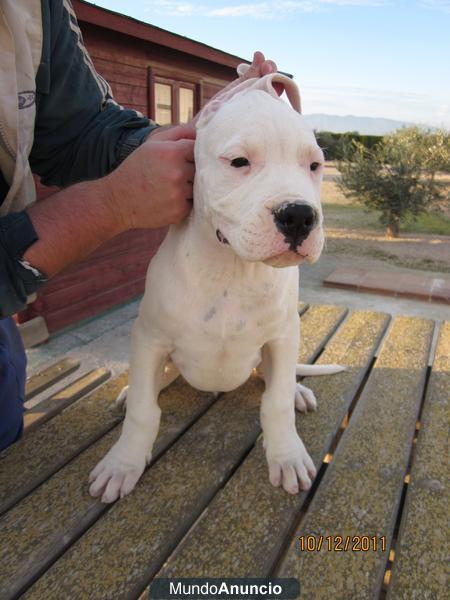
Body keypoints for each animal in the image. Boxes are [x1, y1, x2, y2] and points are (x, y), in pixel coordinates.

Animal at [88, 69, 342, 502]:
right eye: (239, 161)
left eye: (314, 165)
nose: (298, 215)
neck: (232, 268)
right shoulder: (149, 337)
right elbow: (143, 411)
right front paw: (123, 462)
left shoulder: (282, 335)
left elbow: (275, 403)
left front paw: (287, 455)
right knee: (148, 385)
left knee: (277, 380)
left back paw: (296, 391)